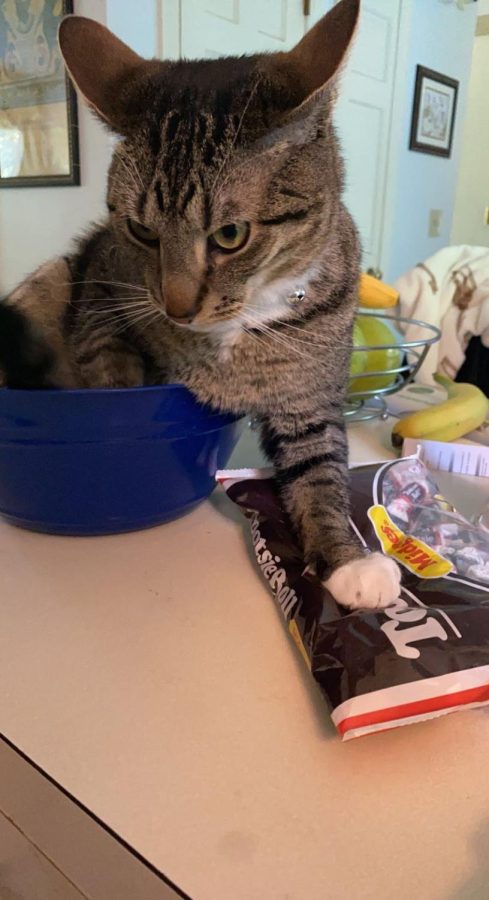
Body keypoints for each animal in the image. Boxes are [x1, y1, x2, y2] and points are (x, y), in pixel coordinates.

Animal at [0, 0, 398, 612]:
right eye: (141, 231)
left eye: (230, 235)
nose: (177, 308)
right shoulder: (100, 296)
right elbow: (113, 369)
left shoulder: (309, 399)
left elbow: (320, 471)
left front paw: (347, 562)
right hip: (53, 279)